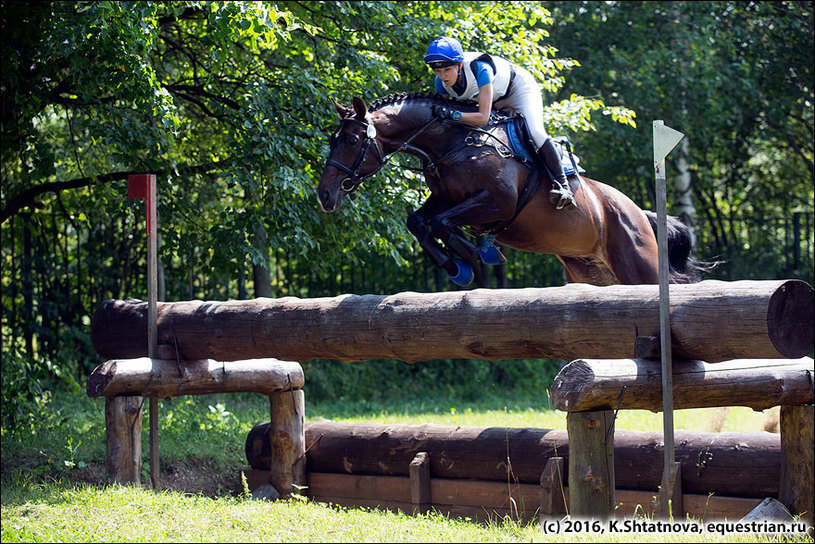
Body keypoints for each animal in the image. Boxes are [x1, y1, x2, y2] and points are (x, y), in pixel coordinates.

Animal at [316, 93, 700, 286]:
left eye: (352, 140)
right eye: (333, 139)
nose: (324, 195)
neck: (455, 143)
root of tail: (641, 213)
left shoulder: (498, 204)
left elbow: (441, 223)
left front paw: (472, 253)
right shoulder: (444, 199)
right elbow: (419, 221)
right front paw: (454, 266)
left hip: (639, 267)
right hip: (592, 273)